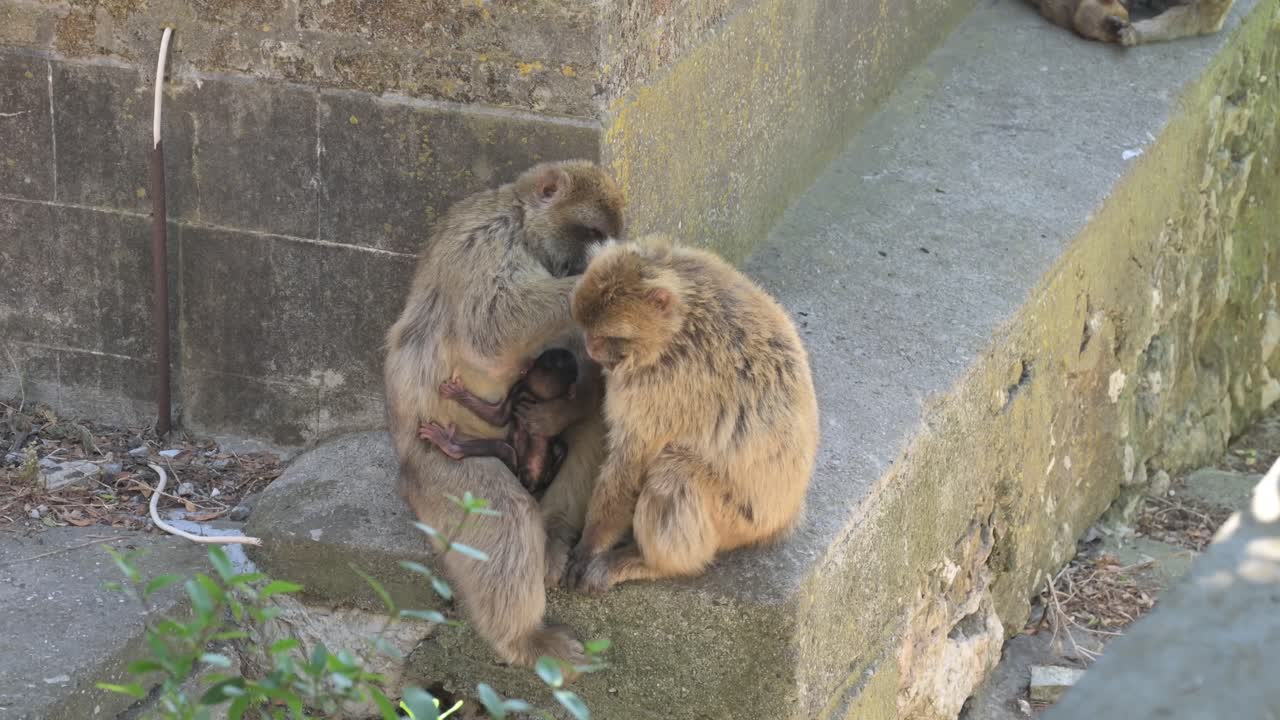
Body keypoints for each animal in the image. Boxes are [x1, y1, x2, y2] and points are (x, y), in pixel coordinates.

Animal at [418, 347, 586, 497]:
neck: (538, 395)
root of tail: (529, 481)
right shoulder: (519, 387)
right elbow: (499, 418)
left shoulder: (518, 387)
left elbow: (498, 417)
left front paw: (458, 394)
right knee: (512, 449)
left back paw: (449, 445)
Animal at [562, 234, 819, 595]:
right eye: (585, 328)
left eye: (609, 337)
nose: (589, 347)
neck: (680, 323)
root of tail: (785, 514)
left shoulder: (665, 386)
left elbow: (632, 461)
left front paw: (591, 544)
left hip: (737, 520)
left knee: (675, 473)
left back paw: (650, 564)